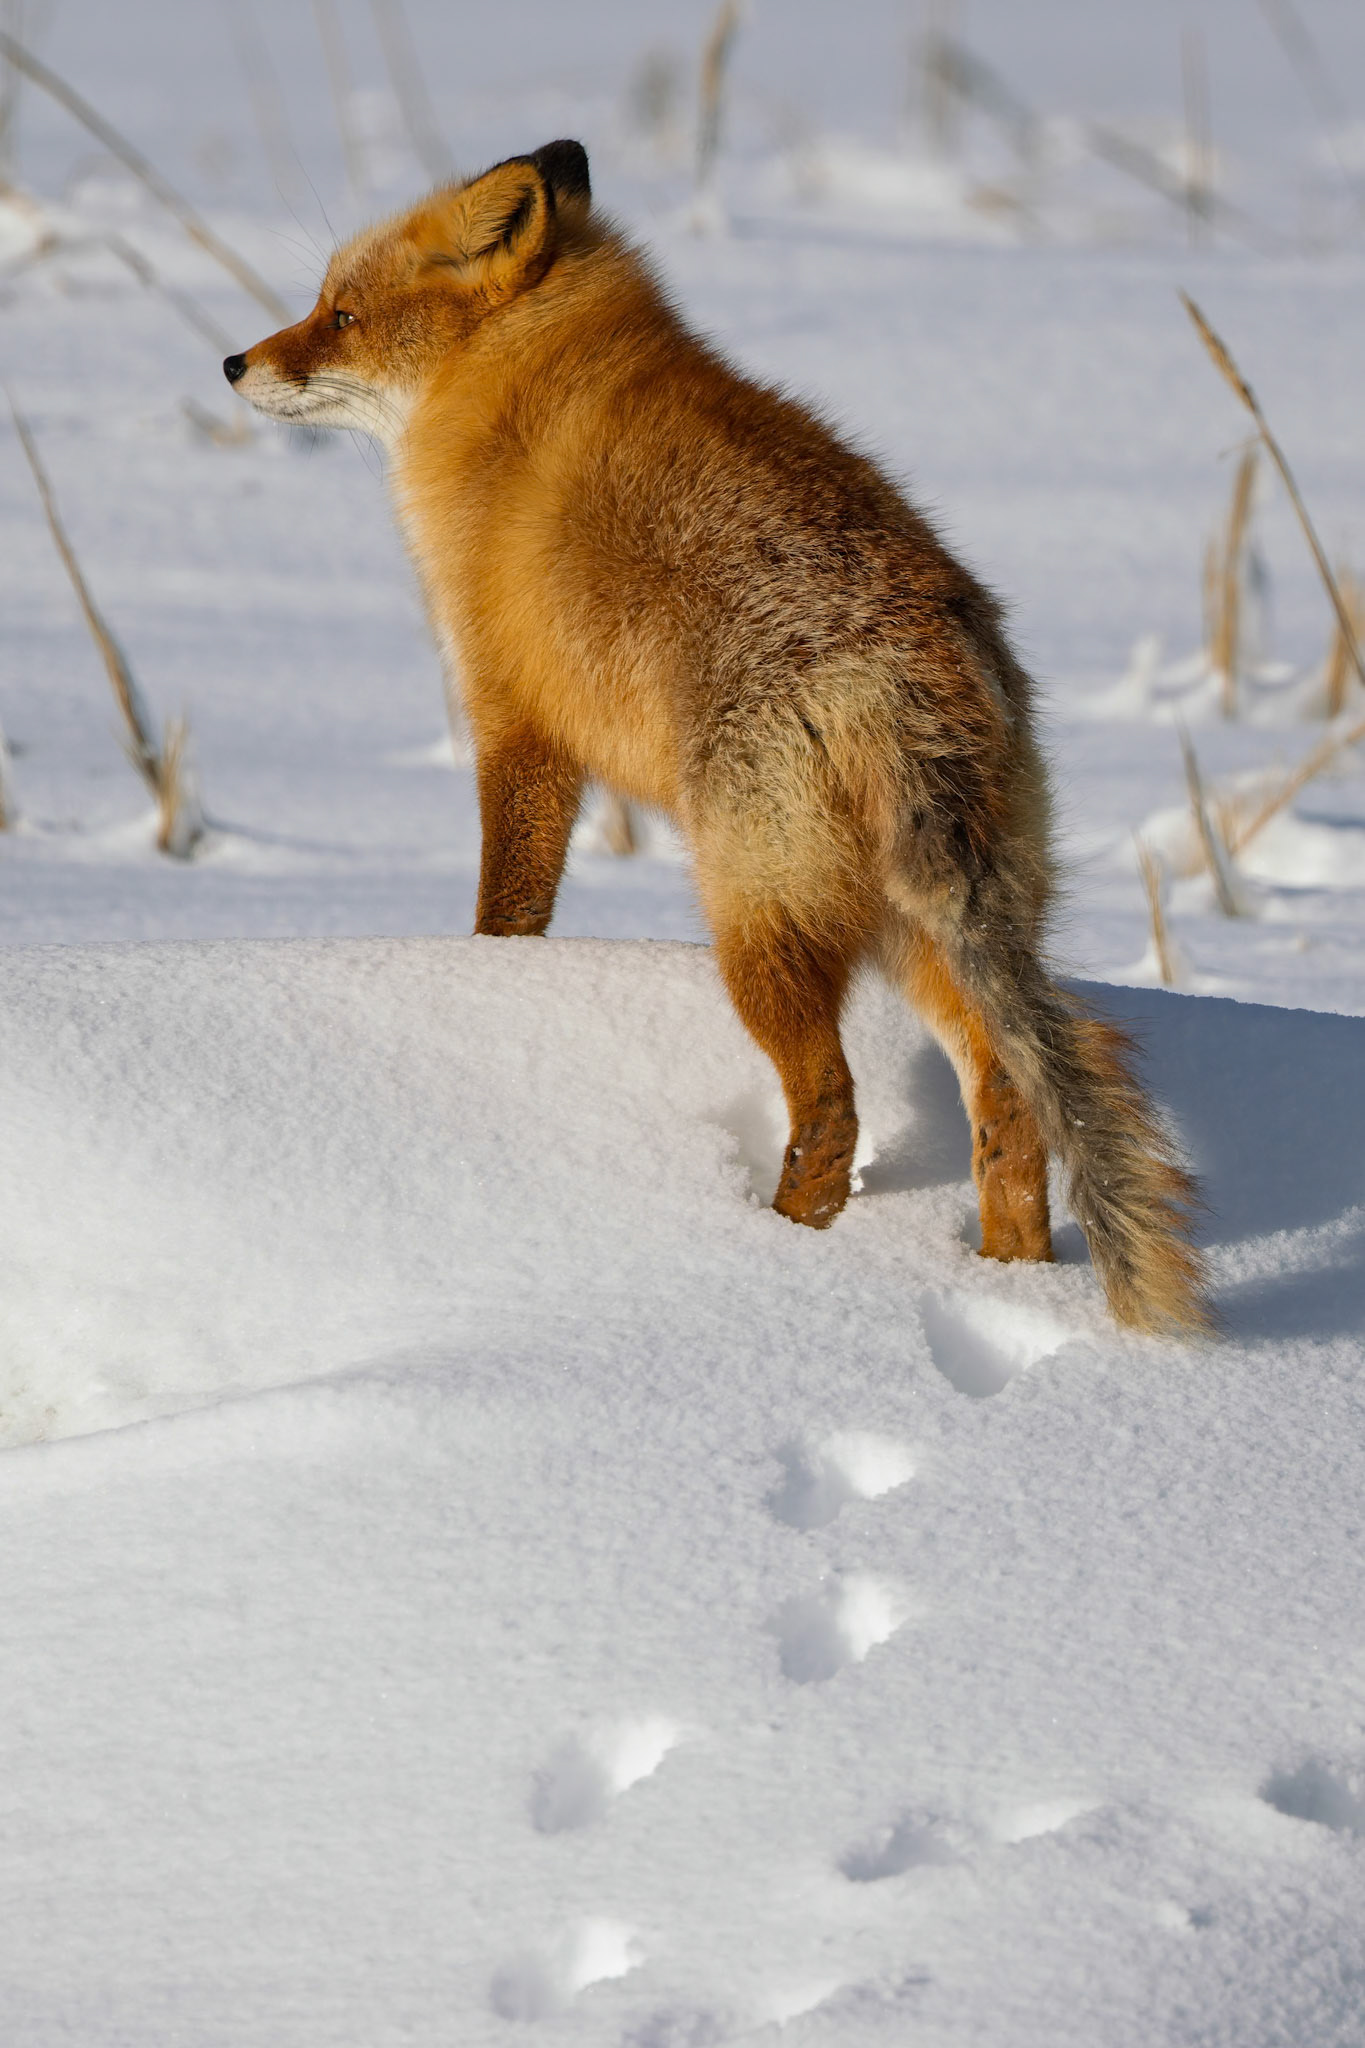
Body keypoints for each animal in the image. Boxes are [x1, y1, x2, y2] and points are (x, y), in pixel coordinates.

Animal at [224, 138, 1209, 1334]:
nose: (233, 361)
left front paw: (485, 984)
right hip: (925, 929)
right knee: (1008, 1101)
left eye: (341, 314)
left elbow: (508, 905)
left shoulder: (517, 720)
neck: (518, 382)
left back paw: (770, 1255)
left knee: (832, 1101)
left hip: (755, 918)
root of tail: (906, 668)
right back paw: (1003, 1279)